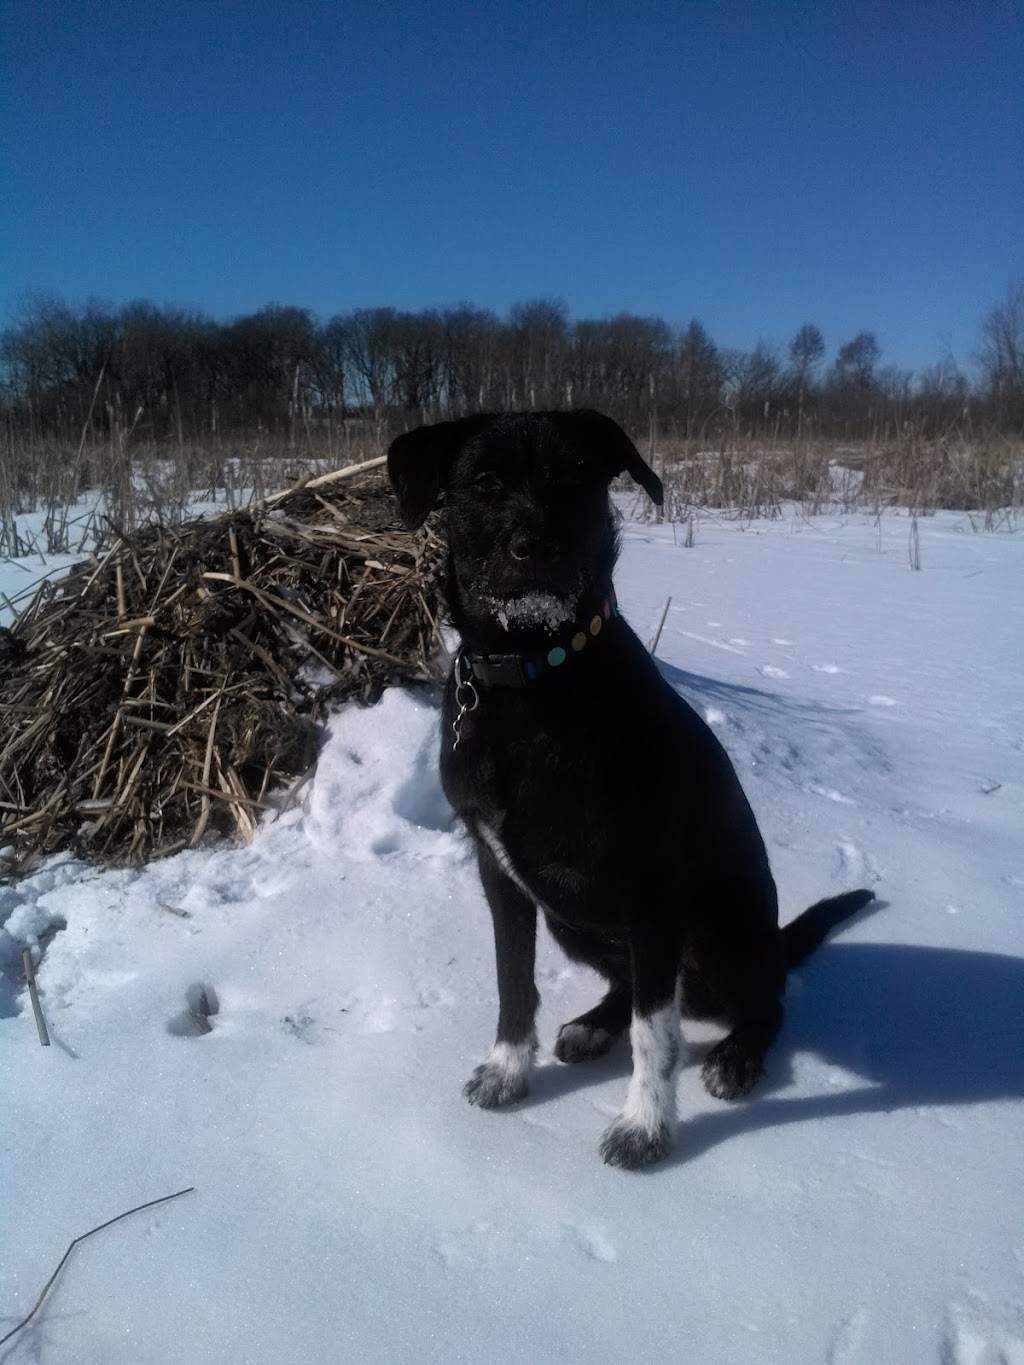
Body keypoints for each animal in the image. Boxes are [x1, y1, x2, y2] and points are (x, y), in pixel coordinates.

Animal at [387, 409, 868, 1168]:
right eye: (485, 482)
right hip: (572, 920)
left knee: (764, 1002)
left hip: (720, 931)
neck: (533, 679)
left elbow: (656, 1033)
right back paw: (592, 1024)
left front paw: (645, 1127)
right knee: (628, 983)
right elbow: (513, 983)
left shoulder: (653, 894)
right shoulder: (500, 874)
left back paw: (738, 1056)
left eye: (577, 477)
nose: (537, 546)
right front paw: (507, 1070)